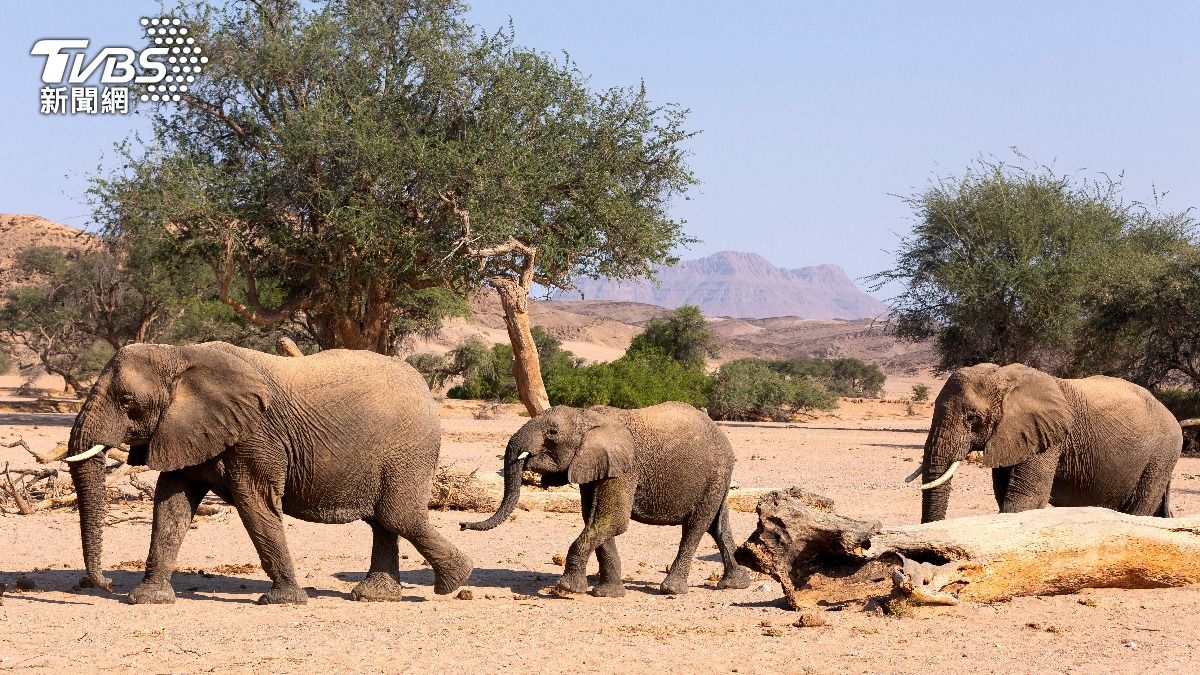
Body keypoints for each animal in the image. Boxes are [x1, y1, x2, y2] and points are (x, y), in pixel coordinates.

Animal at [63, 341, 470, 605]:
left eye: (127, 401)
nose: (106, 584)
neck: (178, 355)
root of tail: (425, 389)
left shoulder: (257, 435)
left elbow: (254, 501)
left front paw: (282, 600)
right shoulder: (183, 430)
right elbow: (171, 505)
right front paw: (147, 599)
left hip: (409, 450)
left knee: (397, 515)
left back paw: (454, 582)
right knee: (383, 521)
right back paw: (374, 597)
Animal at [460, 398, 748, 593]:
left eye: (553, 432)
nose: (462, 525)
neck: (586, 416)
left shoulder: (625, 467)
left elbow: (613, 520)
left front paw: (567, 588)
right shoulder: (594, 466)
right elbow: (594, 520)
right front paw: (607, 593)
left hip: (716, 473)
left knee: (696, 526)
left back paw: (670, 589)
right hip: (718, 478)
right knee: (717, 524)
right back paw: (735, 584)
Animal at [907, 362, 1180, 521]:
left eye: (972, 418)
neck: (1005, 377)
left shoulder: (1049, 436)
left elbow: (1026, 497)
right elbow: (1003, 492)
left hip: (1161, 456)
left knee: (1141, 508)